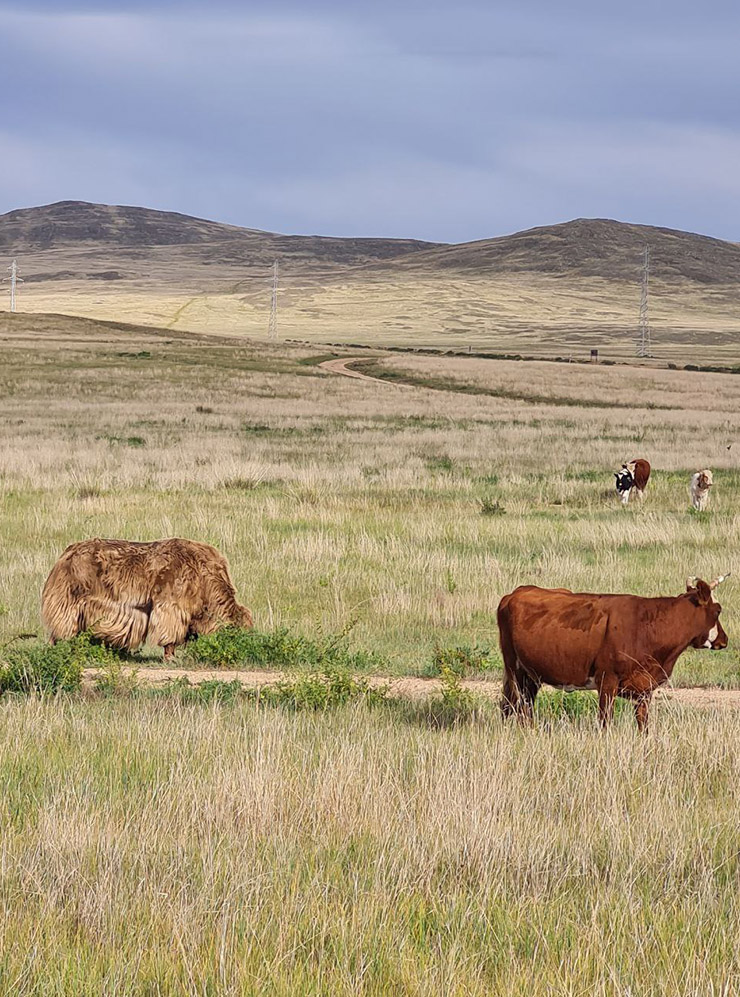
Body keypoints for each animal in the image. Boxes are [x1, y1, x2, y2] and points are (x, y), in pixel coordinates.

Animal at [42, 536, 253, 660]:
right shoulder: (172, 606)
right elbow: (170, 633)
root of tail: (67, 553)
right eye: (238, 632)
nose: (245, 651)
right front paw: (170, 656)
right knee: (60, 627)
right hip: (69, 601)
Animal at [498, 572, 728, 728]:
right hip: (514, 670)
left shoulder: (644, 689)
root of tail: (515, 593)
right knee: (516, 706)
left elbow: (643, 724)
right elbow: (605, 722)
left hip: (531, 675)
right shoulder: (607, 681)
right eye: (718, 610)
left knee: (518, 707)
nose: (724, 640)